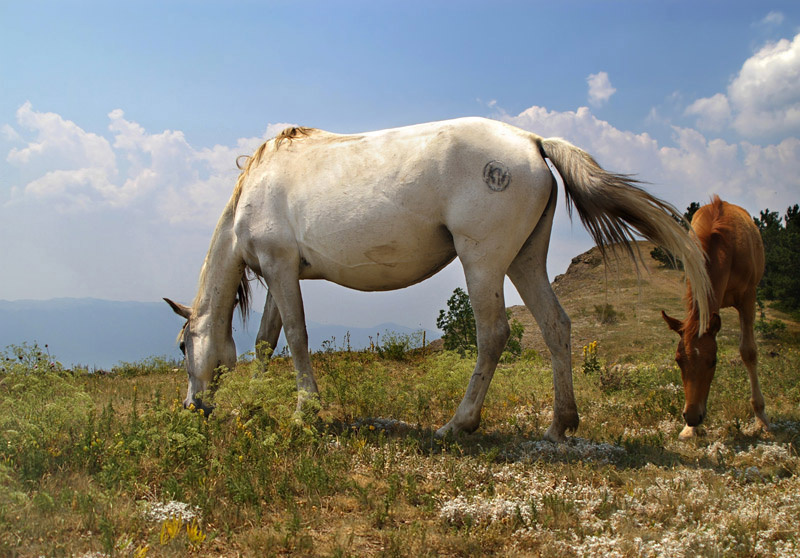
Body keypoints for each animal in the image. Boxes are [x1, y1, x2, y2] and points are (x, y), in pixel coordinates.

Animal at [165, 117, 712, 442]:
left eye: (182, 345)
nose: (193, 408)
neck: (253, 189)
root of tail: (532, 143)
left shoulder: (279, 268)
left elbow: (295, 339)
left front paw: (305, 411)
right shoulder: (280, 271)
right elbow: (265, 341)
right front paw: (257, 406)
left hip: (482, 261)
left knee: (493, 334)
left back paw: (458, 423)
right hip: (524, 261)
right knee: (557, 326)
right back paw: (560, 424)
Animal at [662, 195, 767, 439]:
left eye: (713, 361)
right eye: (678, 361)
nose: (692, 417)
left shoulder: (748, 297)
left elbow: (749, 351)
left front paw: (761, 418)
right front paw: (689, 430)